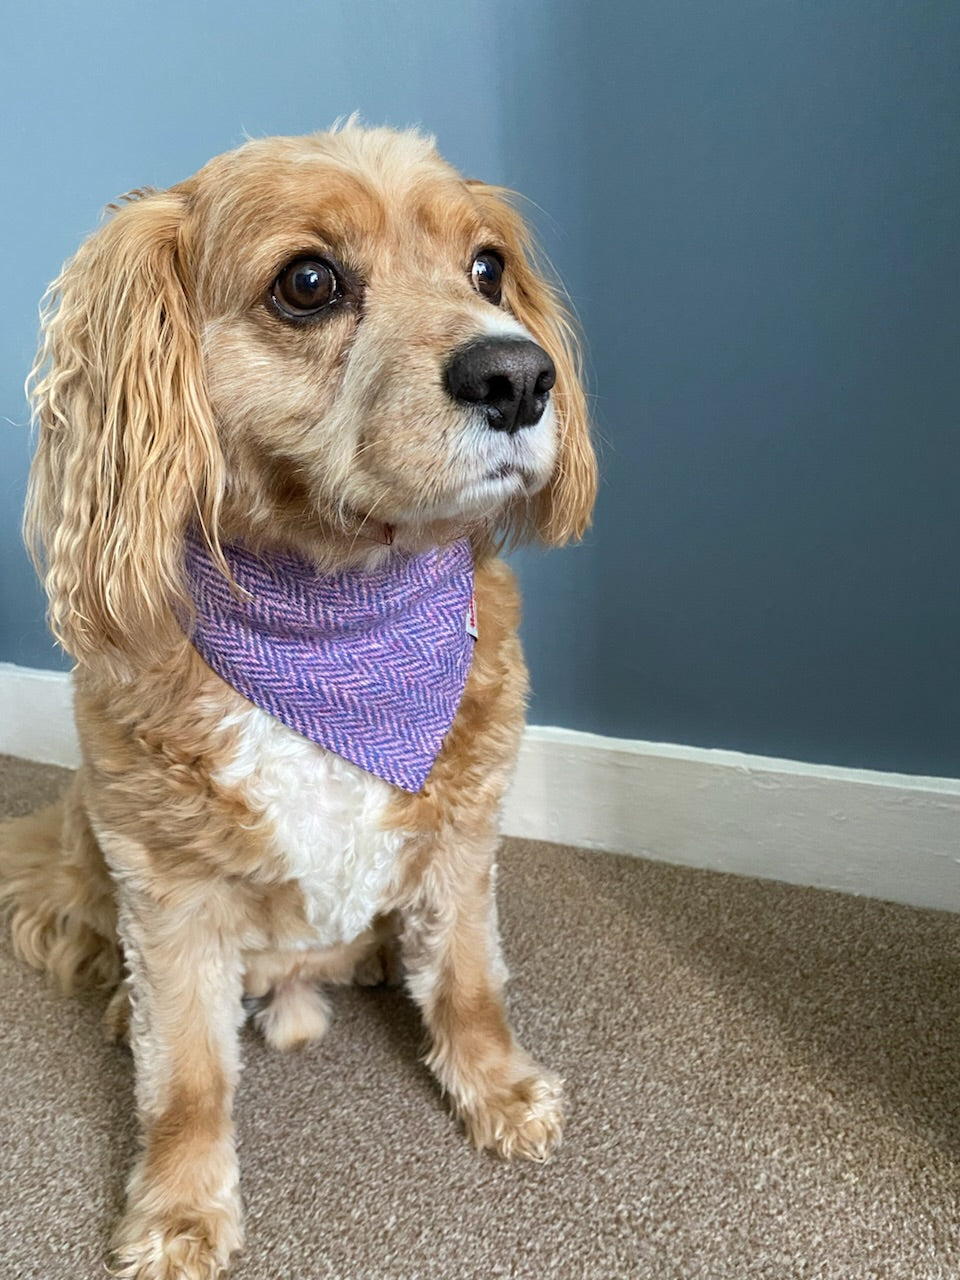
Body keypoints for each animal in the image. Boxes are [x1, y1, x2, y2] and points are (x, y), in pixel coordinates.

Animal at [0, 127, 599, 1280]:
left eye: (488, 268)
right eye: (308, 282)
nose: (517, 374)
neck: (340, 624)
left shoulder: (459, 839)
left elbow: (469, 979)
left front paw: (497, 1088)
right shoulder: (169, 893)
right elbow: (186, 1075)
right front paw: (179, 1209)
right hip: (95, 850)